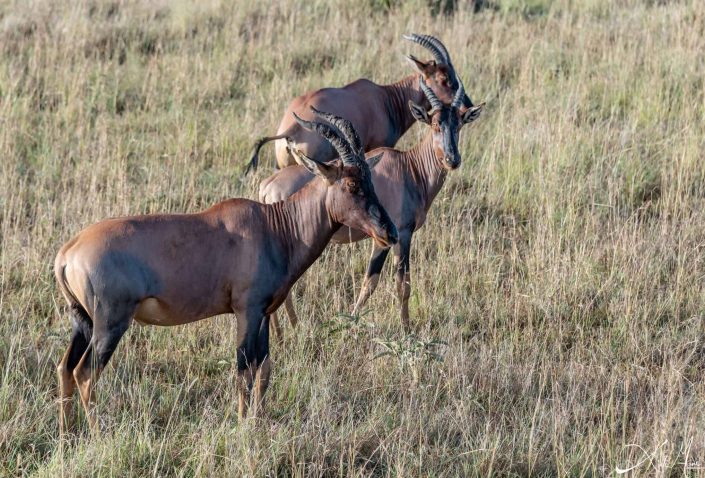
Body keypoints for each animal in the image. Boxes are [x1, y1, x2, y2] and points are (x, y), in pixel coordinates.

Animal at [55, 112, 396, 434]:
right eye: (351, 184)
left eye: (370, 179)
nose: (389, 233)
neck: (273, 226)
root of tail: (67, 253)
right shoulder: (246, 311)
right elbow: (244, 369)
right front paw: (243, 425)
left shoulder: (264, 313)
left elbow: (264, 368)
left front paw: (258, 421)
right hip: (110, 324)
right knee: (85, 374)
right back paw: (98, 434)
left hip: (83, 322)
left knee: (64, 368)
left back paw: (67, 433)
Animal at [260, 80, 484, 332]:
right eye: (435, 124)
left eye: (459, 124)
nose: (452, 160)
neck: (408, 167)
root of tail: (267, 186)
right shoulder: (400, 235)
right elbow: (399, 284)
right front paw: (406, 330)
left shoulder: (384, 239)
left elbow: (369, 283)